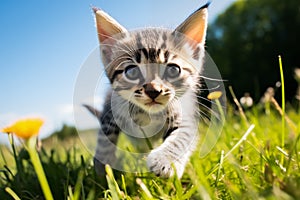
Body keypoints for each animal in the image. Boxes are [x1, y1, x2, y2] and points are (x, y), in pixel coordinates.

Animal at [87, 3, 209, 178]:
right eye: (132, 72)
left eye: (173, 70)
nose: (153, 91)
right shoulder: (110, 108)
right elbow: (105, 138)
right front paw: (103, 168)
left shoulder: (185, 116)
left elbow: (181, 137)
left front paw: (165, 161)